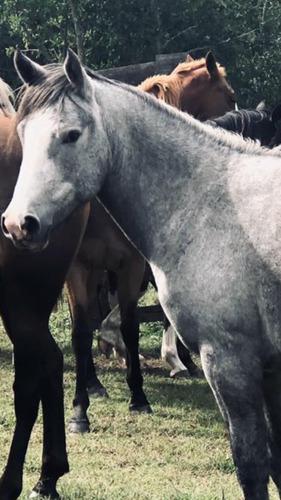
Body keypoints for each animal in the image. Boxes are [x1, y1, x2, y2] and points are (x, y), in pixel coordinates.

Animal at [66, 50, 236, 432]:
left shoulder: (130, 264)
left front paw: (139, 395)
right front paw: (79, 411)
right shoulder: (81, 267)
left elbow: (130, 325)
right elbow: (85, 330)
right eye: (229, 95)